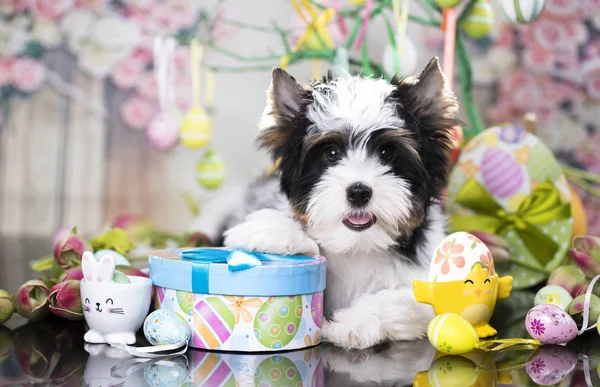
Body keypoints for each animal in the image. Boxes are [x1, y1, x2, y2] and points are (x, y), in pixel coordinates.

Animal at [192, 57, 460, 352]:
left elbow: (404, 301)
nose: (358, 192)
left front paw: (352, 324)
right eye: (331, 153)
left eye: (387, 153)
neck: (358, 245)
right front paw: (277, 233)